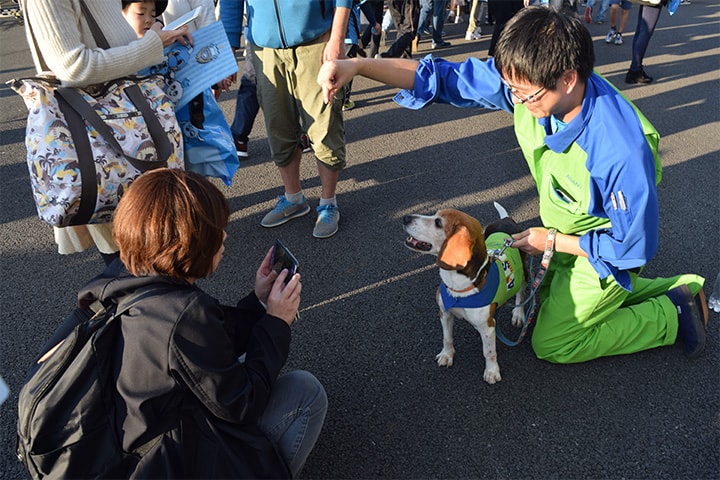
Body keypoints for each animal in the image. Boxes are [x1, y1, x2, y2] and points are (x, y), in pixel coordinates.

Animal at [402, 204, 524, 384]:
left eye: (438, 222)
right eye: (435, 215)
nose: (405, 218)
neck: (458, 287)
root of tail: (506, 219)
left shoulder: (487, 327)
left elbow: (489, 352)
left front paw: (492, 371)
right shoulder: (444, 313)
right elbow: (447, 337)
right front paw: (447, 355)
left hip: (524, 273)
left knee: (522, 292)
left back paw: (518, 314)